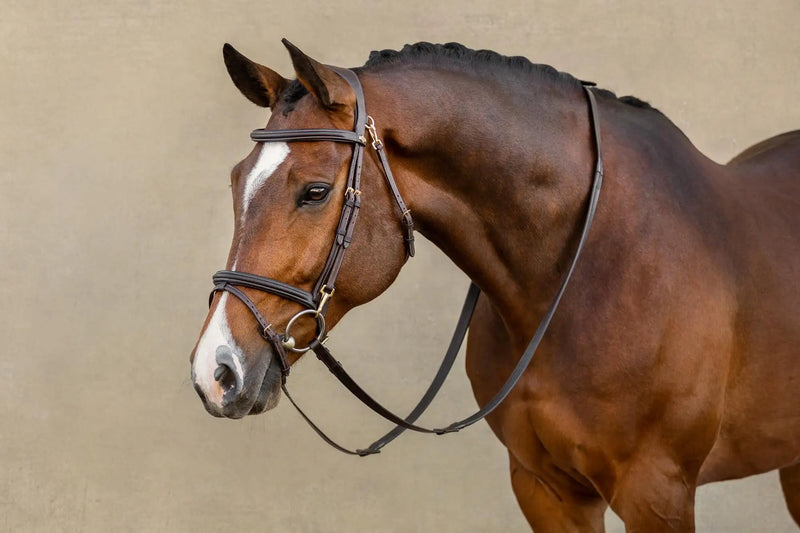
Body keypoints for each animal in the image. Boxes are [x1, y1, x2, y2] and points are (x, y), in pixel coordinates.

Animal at [190, 40, 800, 531]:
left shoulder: (657, 491)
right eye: (236, 180)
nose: (215, 371)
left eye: (314, 192)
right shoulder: (544, 487)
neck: (592, 272)